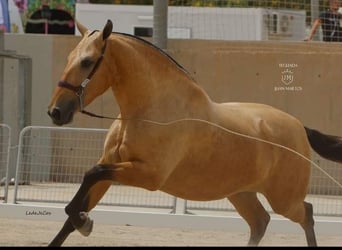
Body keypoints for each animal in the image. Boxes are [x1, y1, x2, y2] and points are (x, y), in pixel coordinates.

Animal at [47, 19, 342, 246]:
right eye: (70, 58)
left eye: (87, 62)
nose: (56, 112)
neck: (150, 110)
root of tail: (298, 126)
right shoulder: (112, 164)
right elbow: (74, 209)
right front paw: (82, 220)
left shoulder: (148, 175)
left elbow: (90, 176)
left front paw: (85, 221)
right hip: (241, 193)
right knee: (261, 221)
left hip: (284, 200)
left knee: (307, 214)